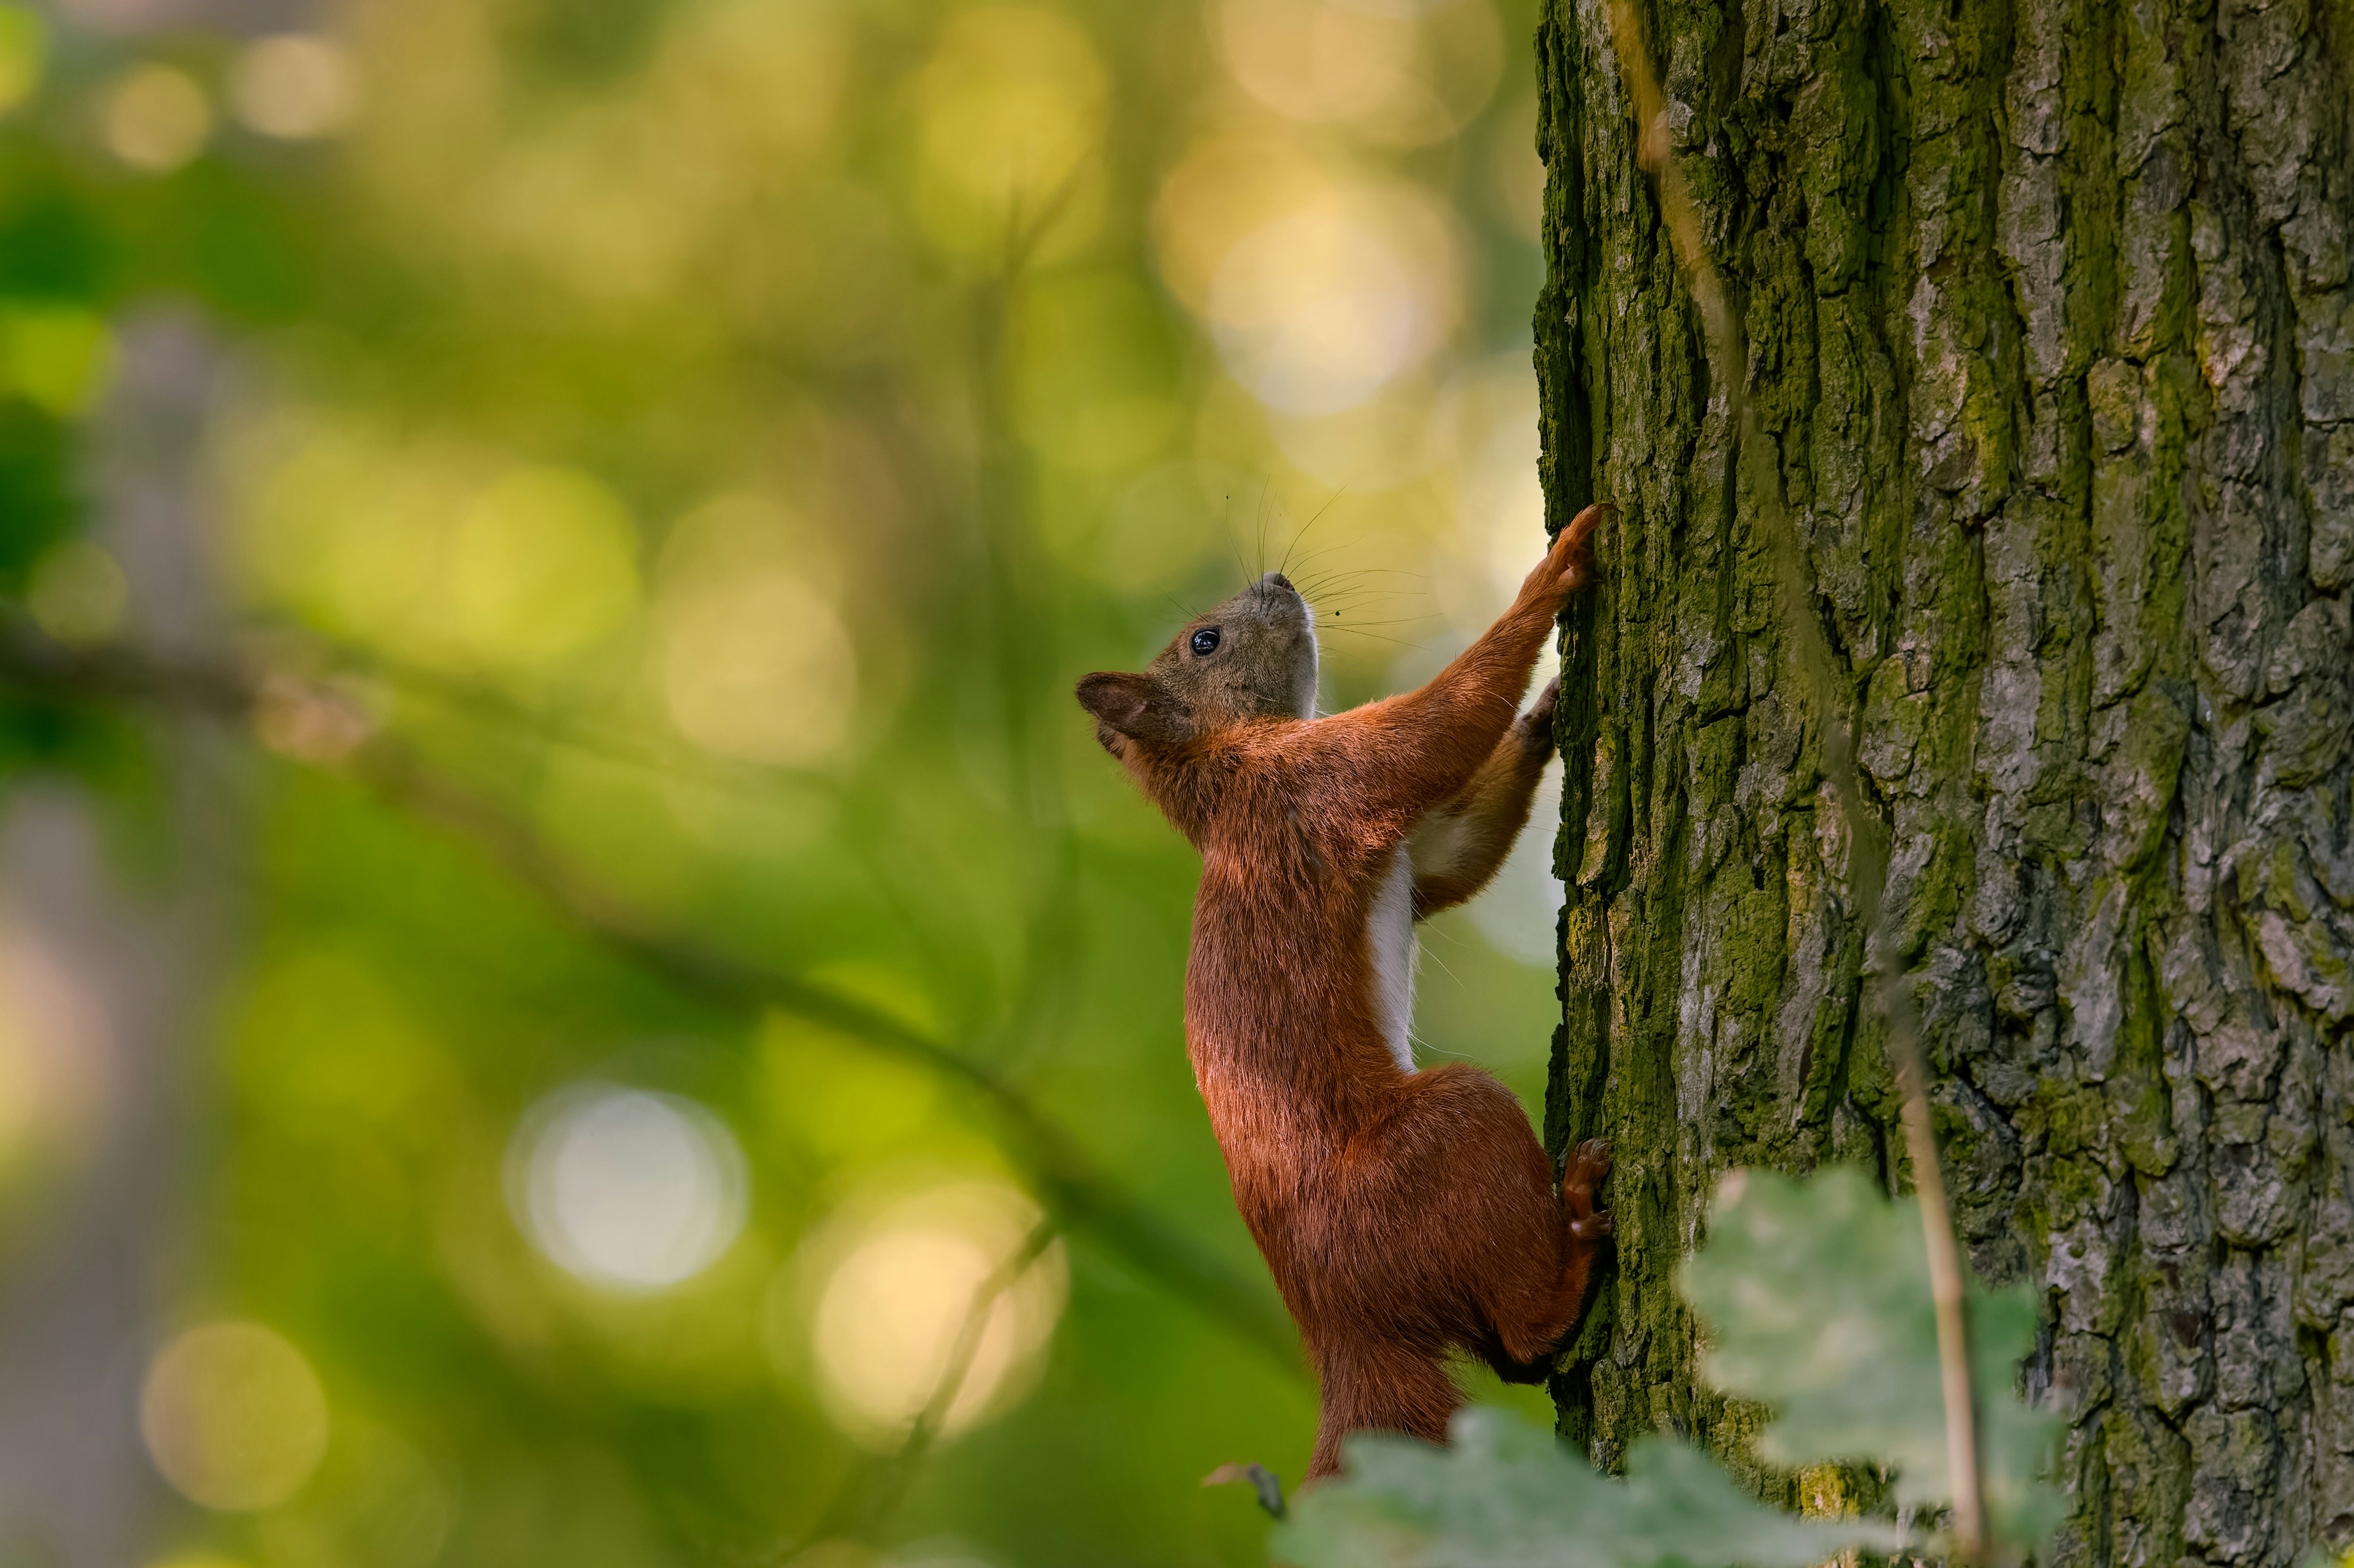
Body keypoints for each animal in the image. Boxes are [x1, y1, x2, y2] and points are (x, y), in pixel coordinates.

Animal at [1075, 502, 1614, 1480]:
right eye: (1205, 641)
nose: (1279, 579)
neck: (1227, 767)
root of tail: (1342, 1329)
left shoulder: (1396, 843)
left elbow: (1456, 848)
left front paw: (1546, 713)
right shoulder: (1324, 781)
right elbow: (1435, 730)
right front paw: (1554, 574)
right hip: (1442, 1146)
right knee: (1525, 1330)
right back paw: (1577, 1238)